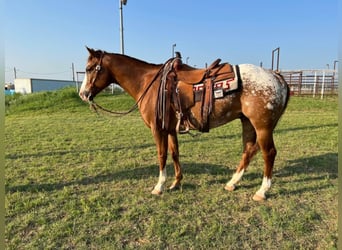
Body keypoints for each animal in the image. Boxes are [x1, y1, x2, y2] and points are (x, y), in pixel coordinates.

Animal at [79, 47, 288, 202]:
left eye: (89, 69)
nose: (83, 94)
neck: (148, 83)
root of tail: (276, 77)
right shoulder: (170, 129)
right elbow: (174, 153)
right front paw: (176, 183)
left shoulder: (158, 129)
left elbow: (162, 155)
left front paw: (159, 186)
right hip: (248, 123)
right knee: (249, 150)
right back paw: (232, 183)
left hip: (262, 126)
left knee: (268, 153)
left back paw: (262, 191)